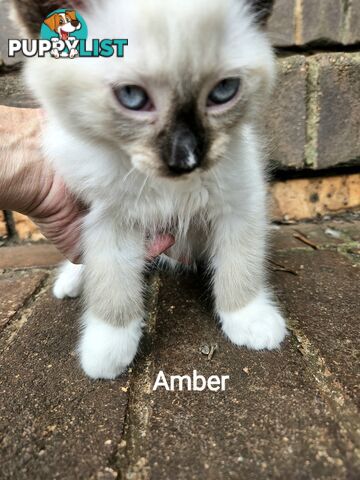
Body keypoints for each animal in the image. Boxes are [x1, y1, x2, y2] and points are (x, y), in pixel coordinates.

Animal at [11, 0, 286, 378]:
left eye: (224, 91)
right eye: (132, 96)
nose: (186, 157)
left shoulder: (239, 206)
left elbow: (240, 268)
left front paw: (250, 320)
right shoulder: (108, 220)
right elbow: (112, 288)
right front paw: (107, 351)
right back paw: (70, 284)